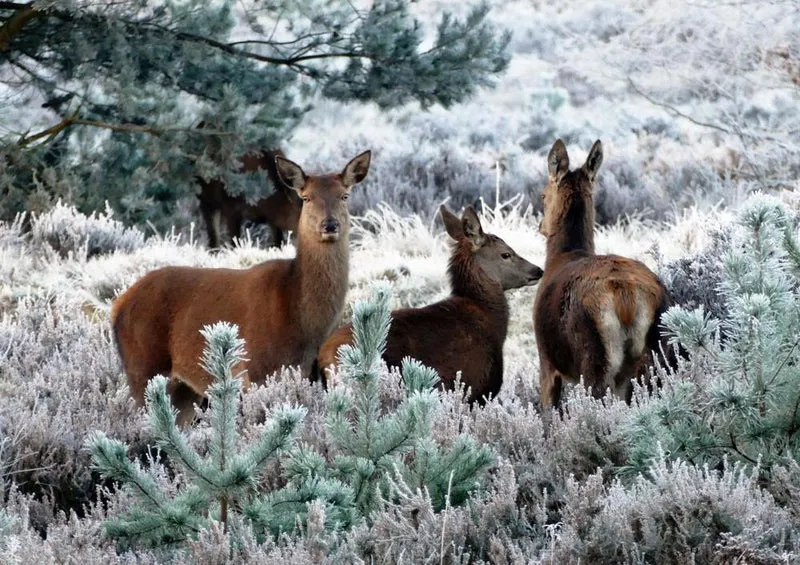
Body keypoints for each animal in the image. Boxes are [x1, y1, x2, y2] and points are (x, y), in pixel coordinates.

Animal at [112, 151, 372, 426]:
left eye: (344, 195)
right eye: (306, 197)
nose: (329, 225)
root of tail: (117, 306)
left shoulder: (311, 373)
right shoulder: (256, 369)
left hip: (183, 389)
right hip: (143, 367)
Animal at [533, 139, 675, 424]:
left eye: (543, 194)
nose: (541, 225)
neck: (561, 256)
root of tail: (627, 297)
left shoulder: (546, 359)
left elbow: (547, 417)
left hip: (594, 356)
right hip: (656, 356)